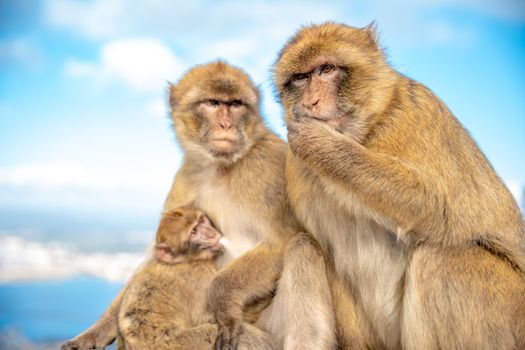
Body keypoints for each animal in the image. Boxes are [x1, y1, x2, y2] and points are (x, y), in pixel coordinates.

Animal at [117, 206, 276, 348]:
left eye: (201, 220)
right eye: (193, 232)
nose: (211, 234)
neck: (188, 260)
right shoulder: (199, 276)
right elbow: (208, 319)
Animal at [268, 22, 520, 350]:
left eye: (326, 69)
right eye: (300, 78)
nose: (311, 102)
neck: (364, 131)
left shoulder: (415, 114)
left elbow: (435, 205)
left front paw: (321, 145)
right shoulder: (295, 170)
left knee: (438, 260)